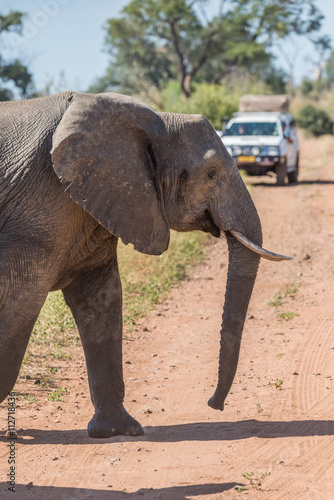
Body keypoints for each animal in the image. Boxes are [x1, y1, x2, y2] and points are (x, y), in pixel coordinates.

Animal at [0, 92, 290, 436]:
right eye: (211, 174)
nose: (213, 405)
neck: (156, 120)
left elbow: (102, 301)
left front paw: (116, 431)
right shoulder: (38, 210)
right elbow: (19, 303)